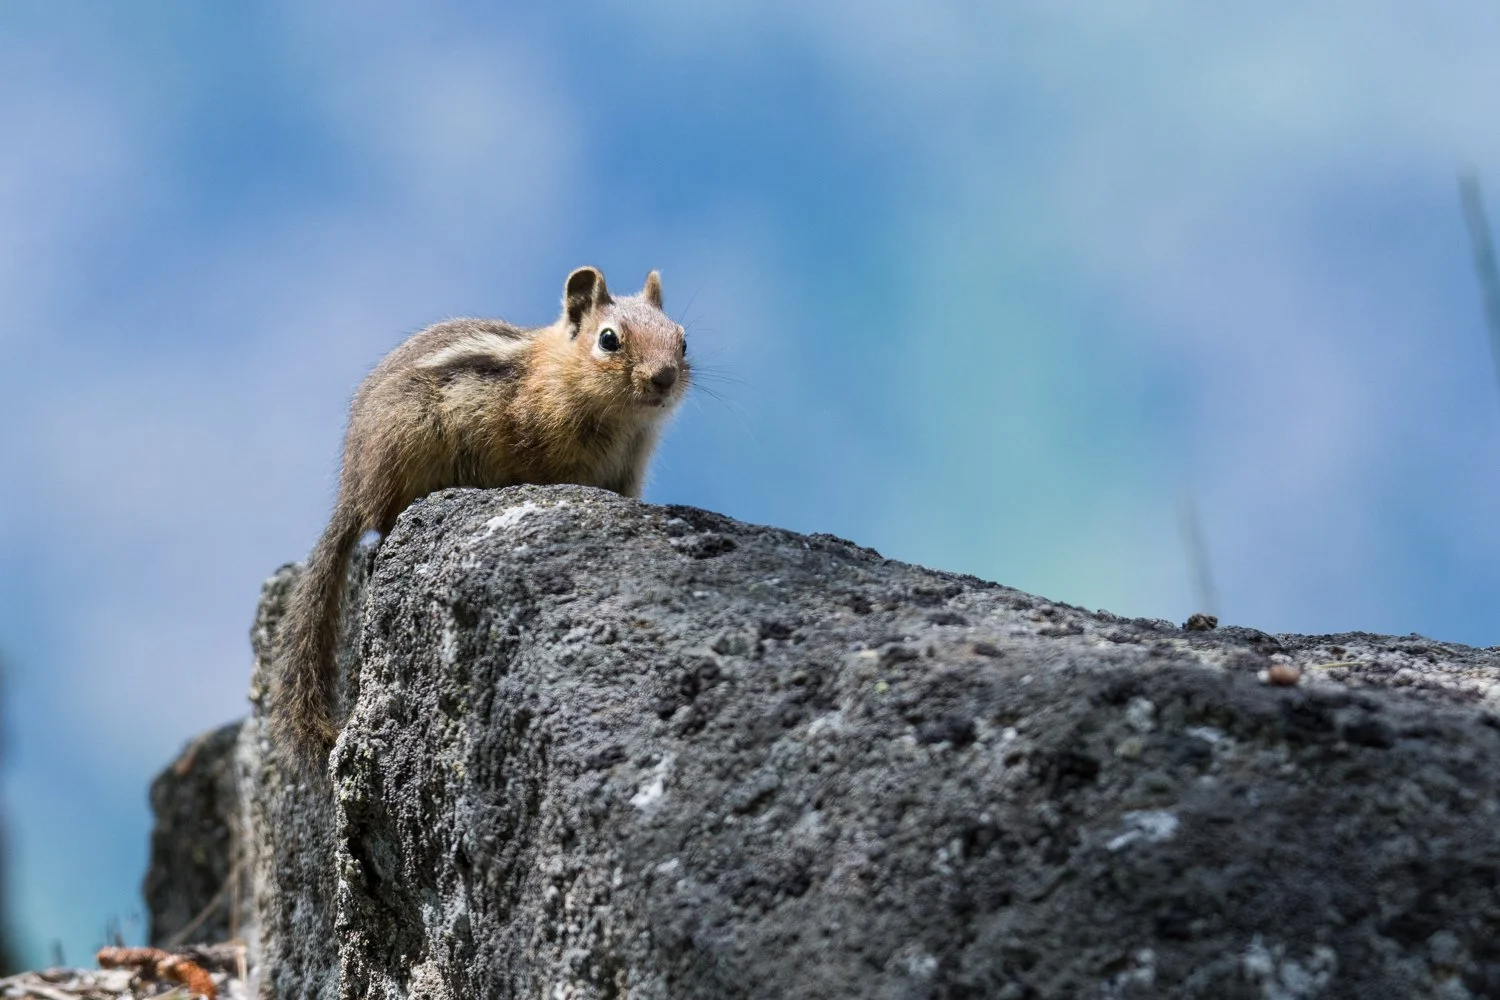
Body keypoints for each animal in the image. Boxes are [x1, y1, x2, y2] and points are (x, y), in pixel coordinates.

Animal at [272, 266, 690, 766]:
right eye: (609, 340)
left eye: (683, 341)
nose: (664, 378)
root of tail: (351, 490)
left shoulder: (629, 471)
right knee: (383, 519)